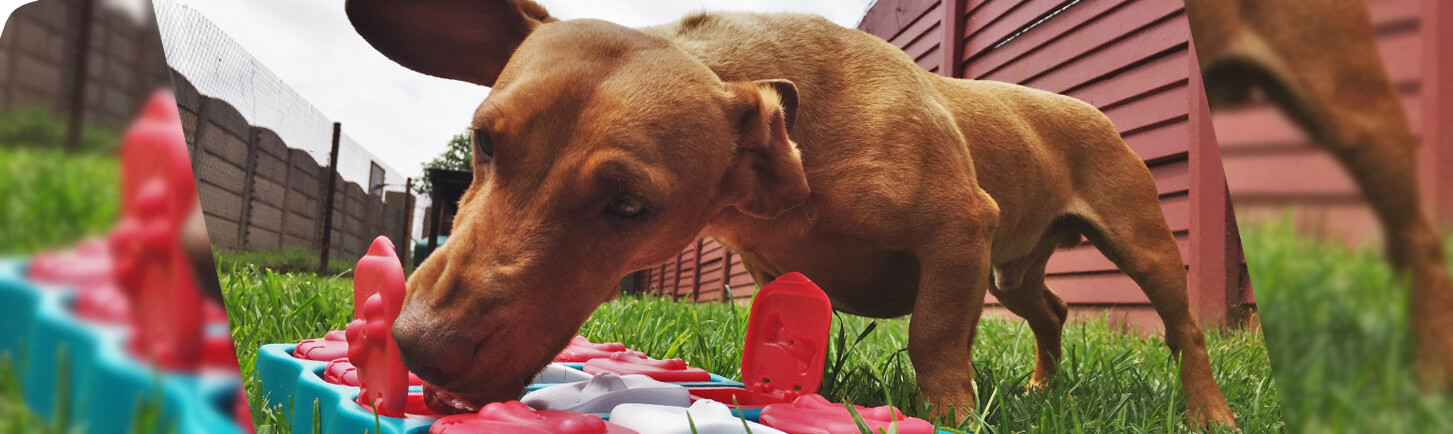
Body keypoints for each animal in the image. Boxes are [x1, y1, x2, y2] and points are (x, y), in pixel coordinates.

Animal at [348, 0, 1237, 429]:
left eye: (628, 206)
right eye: (484, 142)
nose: (417, 347)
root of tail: (1086, 108)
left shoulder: (959, 235)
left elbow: (935, 338)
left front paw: (952, 412)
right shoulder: (778, 265)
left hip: (1138, 245)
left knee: (1182, 330)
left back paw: (1208, 411)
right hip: (1011, 273)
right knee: (1049, 310)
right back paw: (1041, 383)